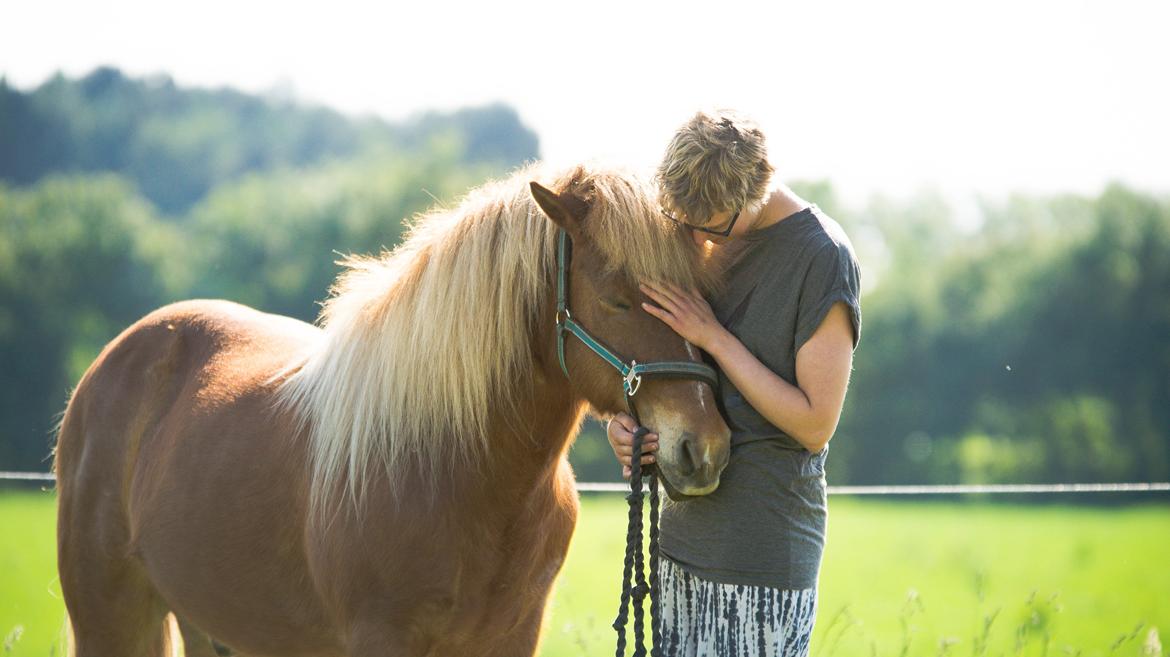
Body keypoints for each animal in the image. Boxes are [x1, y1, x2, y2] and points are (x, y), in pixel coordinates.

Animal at [57, 162, 730, 654]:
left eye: (702, 296)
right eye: (617, 299)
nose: (705, 447)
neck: (458, 471)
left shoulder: (513, 637)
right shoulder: (382, 638)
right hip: (112, 619)